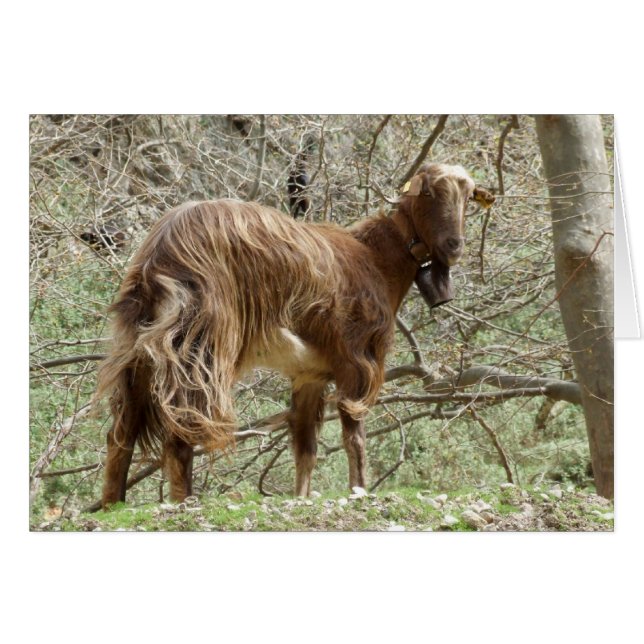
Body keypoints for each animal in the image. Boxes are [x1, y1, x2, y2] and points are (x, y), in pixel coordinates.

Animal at [95, 163, 494, 507]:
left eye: (469, 195)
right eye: (427, 192)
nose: (454, 246)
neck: (376, 259)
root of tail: (159, 253)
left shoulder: (309, 374)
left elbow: (306, 447)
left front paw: (300, 497)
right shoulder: (357, 359)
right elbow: (354, 436)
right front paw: (359, 490)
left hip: (139, 343)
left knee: (122, 429)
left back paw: (114, 503)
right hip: (201, 339)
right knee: (184, 421)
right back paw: (183, 502)